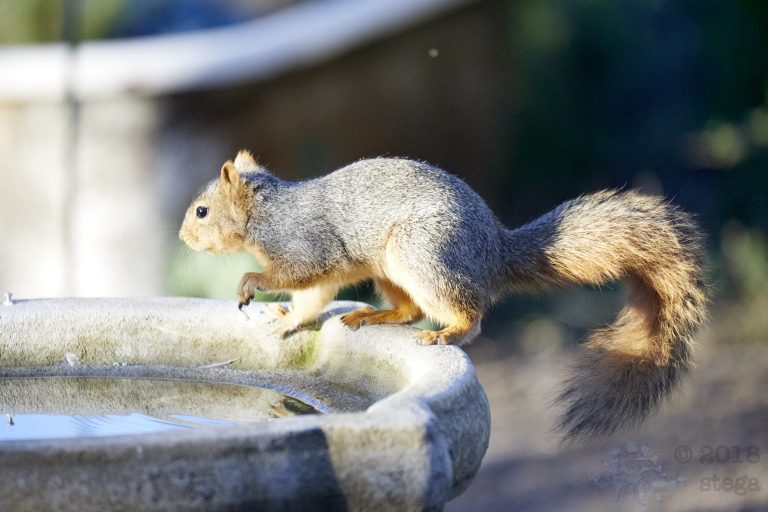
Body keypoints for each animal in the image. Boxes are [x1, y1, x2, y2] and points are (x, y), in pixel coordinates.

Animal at [179, 150, 707, 438]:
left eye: (202, 211)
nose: (183, 239)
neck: (267, 211)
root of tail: (494, 253)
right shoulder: (323, 270)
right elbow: (314, 298)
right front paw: (288, 320)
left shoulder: (303, 245)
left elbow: (296, 273)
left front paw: (252, 284)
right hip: (393, 271)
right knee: (410, 310)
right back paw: (373, 317)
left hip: (422, 255)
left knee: (467, 316)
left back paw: (446, 332)